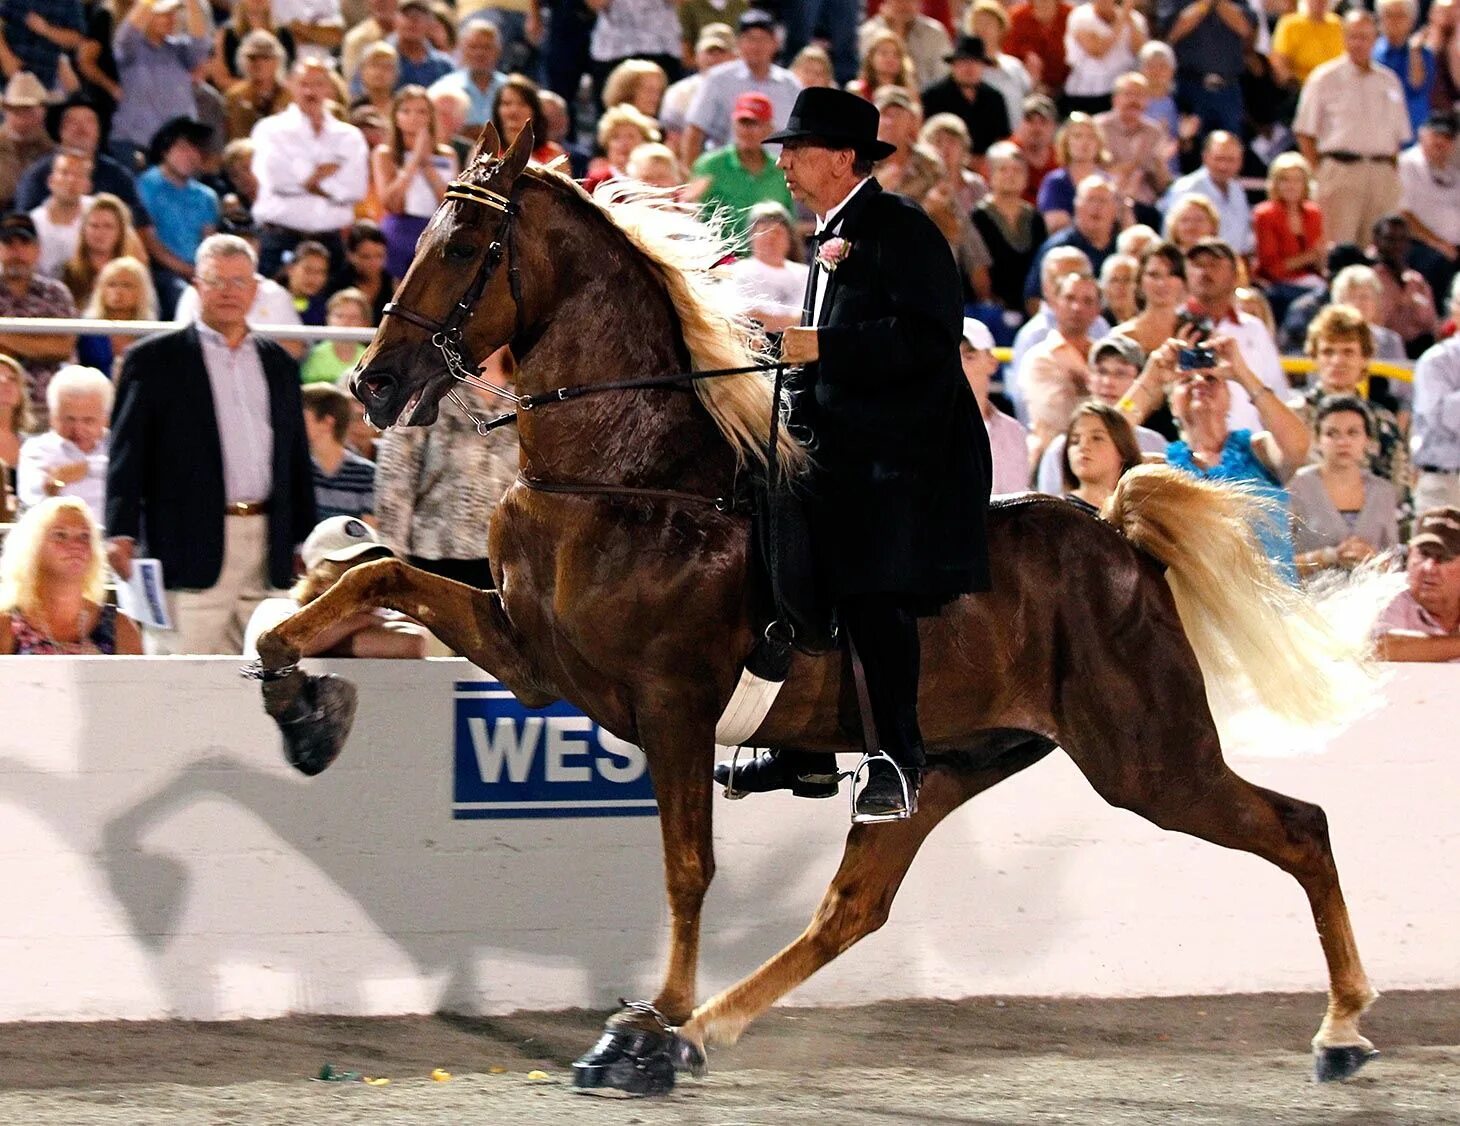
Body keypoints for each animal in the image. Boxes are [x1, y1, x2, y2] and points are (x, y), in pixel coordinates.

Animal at [254, 125, 1378, 1098]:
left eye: (467, 246)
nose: (373, 382)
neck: (630, 473)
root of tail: (1116, 535)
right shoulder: (535, 652)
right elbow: (377, 574)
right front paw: (297, 695)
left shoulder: (662, 703)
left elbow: (687, 868)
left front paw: (647, 1020)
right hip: (952, 766)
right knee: (853, 908)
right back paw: (704, 1034)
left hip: (1146, 757)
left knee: (1302, 828)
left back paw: (1343, 1029)